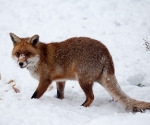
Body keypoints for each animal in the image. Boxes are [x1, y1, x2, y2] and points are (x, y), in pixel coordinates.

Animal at [9, 32, 150, 112]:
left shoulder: (45, 80)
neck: (41, 57)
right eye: (18, 53)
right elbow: (60, 95)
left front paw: (31, 103)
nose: (20, 63)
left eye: (27, 53)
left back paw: (81, 107)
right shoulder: (60, 80)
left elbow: (34, 95)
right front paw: (60, 102)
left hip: (83, 80)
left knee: (91, 97)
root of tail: (106, 52)